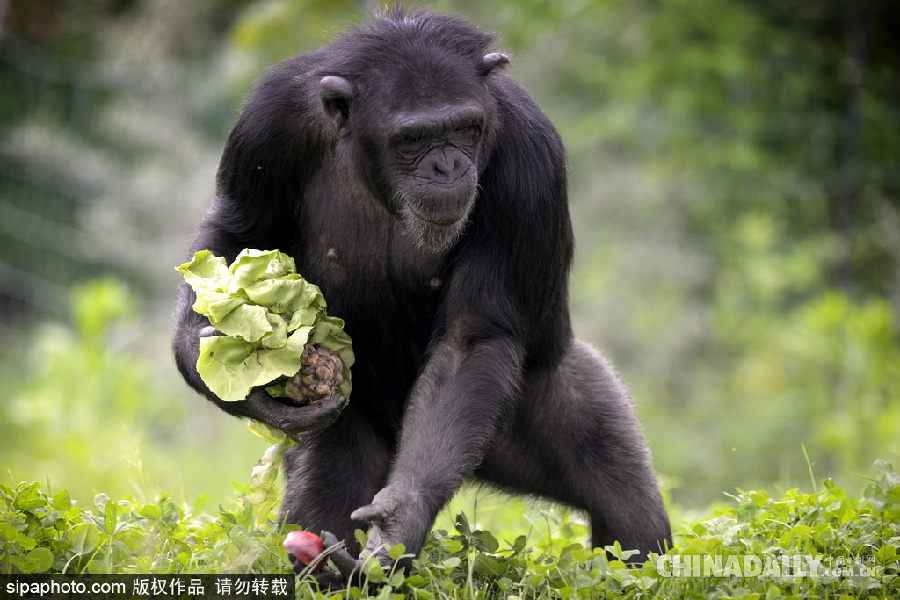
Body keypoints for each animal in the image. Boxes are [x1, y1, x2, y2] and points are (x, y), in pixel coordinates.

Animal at [172, 5, 672, 580]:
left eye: (465, 128)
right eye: (412, 139)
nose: (447, 165)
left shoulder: (530, 157)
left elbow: (473, 337)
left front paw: (399, 522)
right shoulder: (266, 123)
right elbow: (235, 232)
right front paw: (213, 357)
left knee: (627, 509)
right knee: (323, 497)